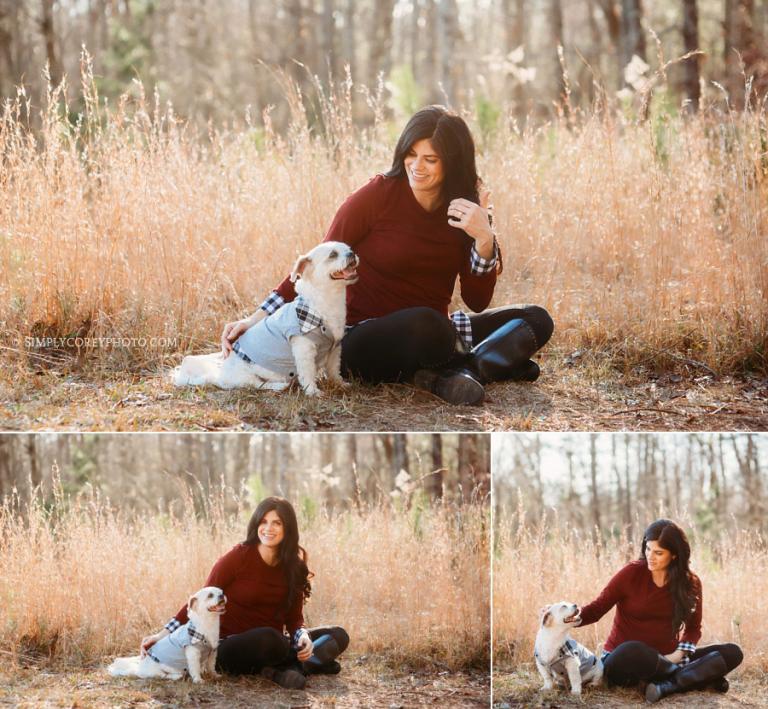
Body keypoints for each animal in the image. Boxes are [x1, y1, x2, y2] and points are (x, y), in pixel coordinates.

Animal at [172, 241, 358, 396]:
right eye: (333, 254)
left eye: (349, 248)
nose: (352, 253)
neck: (323, 303)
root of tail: (221, 376)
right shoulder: (303, 350)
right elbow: (307, 373)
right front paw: (313, 391)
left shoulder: (335, 348)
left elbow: (334, 370)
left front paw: (340, 384)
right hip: (246, 374)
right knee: (257, 384)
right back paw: (279, 386)